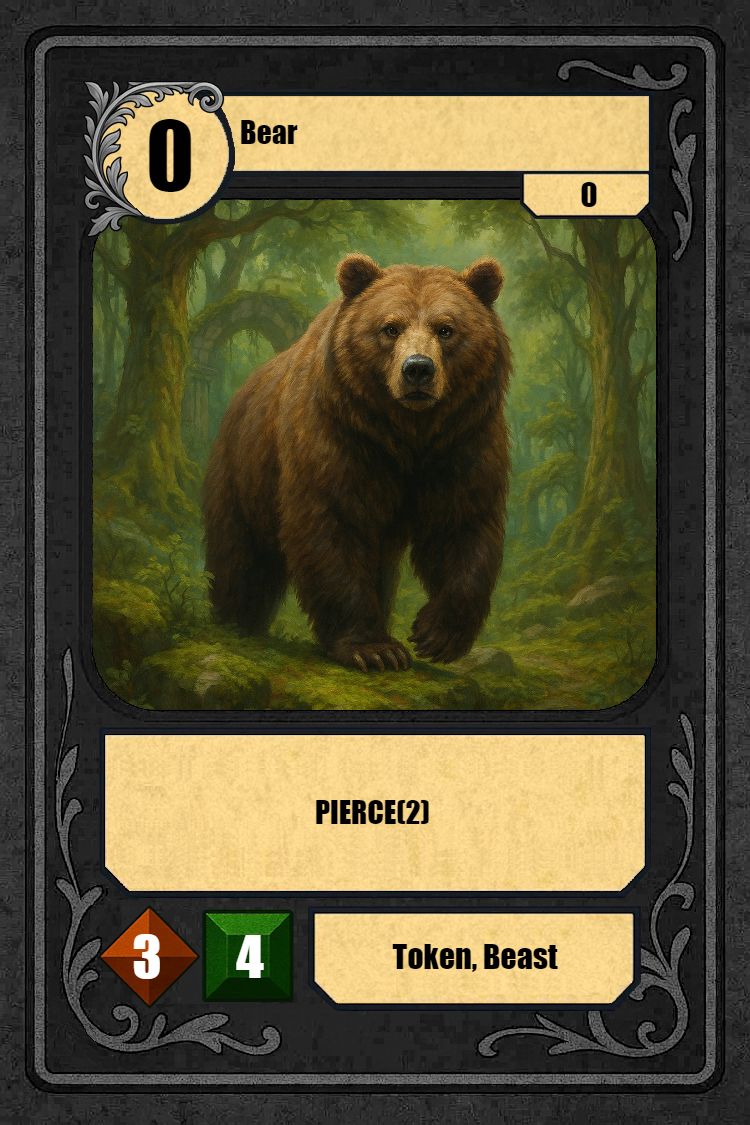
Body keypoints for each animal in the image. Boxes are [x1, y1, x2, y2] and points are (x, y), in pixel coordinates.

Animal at [203, 254, 511, 671]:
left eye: (446, 329)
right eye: (390, 328)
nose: (418, 368)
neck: (407, 433)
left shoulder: (463, 439)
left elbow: (463, 524)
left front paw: (437, 634)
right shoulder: (339, 437)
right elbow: (334, 527)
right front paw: (374, 648)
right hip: (243, 474)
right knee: (241, 559)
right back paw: (235, 621)